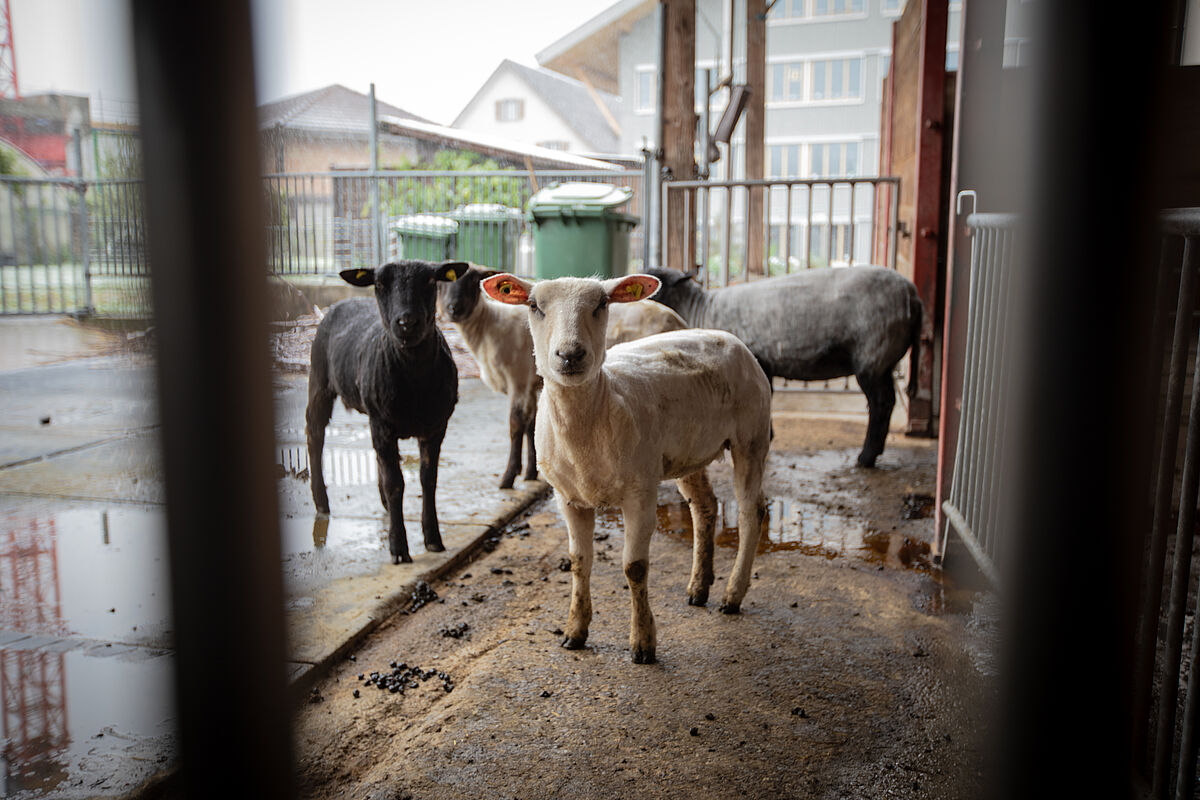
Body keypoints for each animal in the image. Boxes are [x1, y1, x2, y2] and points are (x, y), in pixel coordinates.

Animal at [304, 261, 463, 563]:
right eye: (379, 284)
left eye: (430, 280)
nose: (407, 322)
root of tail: (347, 301)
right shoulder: (383, 425)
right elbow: (395, 483)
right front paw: (399, 547)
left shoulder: (436, 426)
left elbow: (428, 480)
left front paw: (433, 538)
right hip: (319, 380)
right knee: (314, 434)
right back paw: (321, 502)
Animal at [482, 272, 772, 666]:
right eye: (534, 306)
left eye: (602, 304)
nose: (570, 354)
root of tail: (727, 336)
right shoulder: (568, 498)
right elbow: (579, 561)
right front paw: (575, 631)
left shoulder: (640, 492)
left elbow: (634, 567)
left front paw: (643, 643)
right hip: (687, 452)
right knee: (705, 506)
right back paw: (699, 587)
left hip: (751, 437)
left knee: (750, 513)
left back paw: (732, 594)